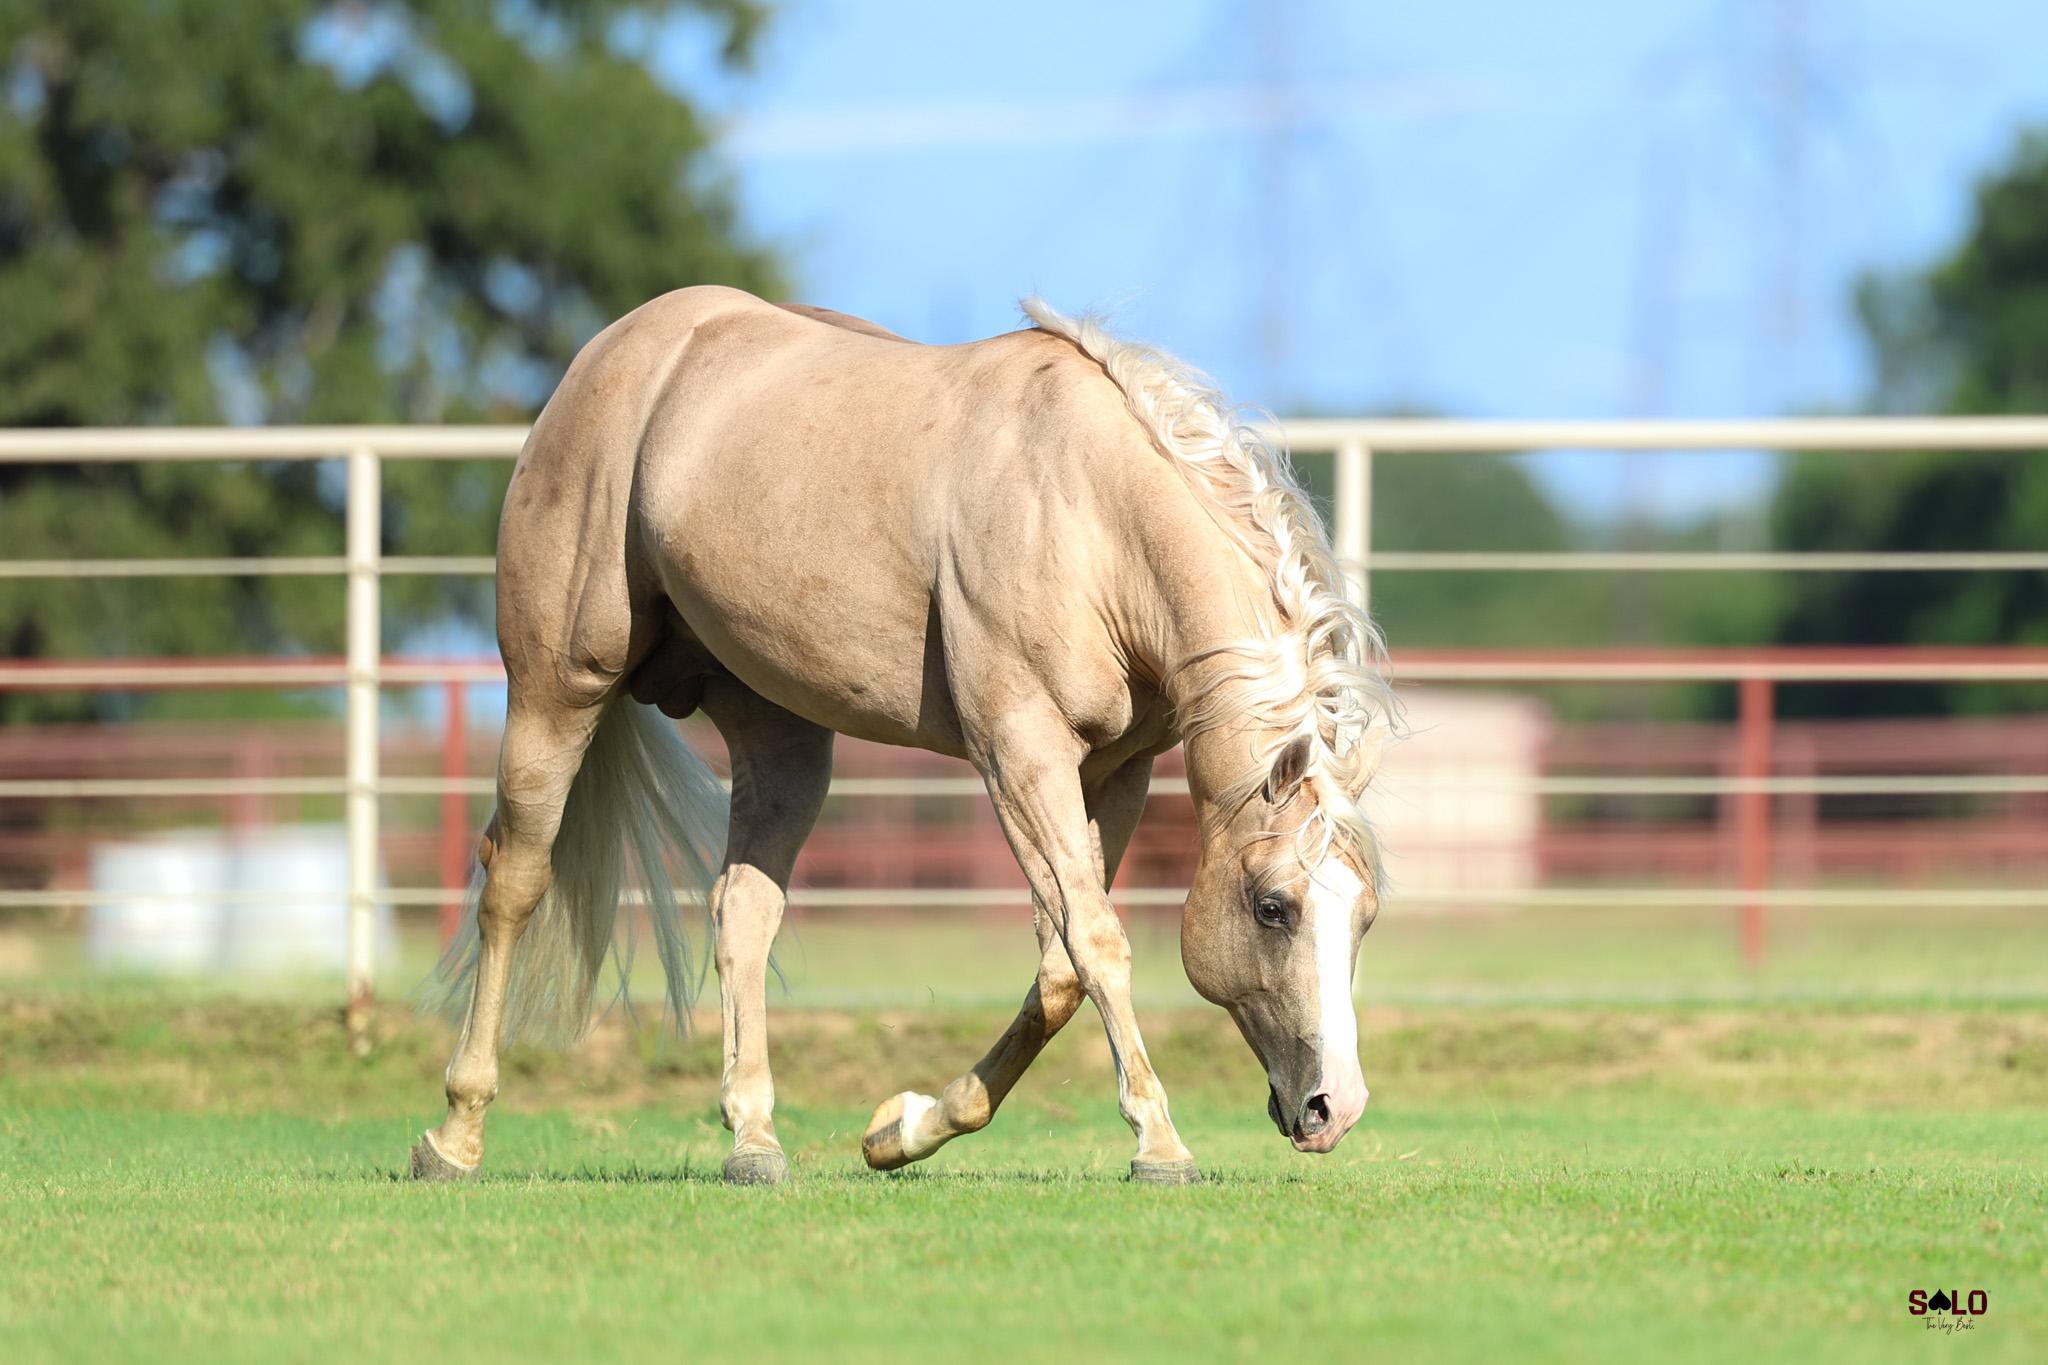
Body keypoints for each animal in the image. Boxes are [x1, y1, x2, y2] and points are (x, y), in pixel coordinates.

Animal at [412, 287, 1395, 1186]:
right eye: (1272, 907)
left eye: (1366, 916)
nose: (1335, 1108)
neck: (1088, 513)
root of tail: (621, 349)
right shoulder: (1019, 751)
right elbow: (1097, 942)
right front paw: (1159, 1145)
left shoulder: (1113, 773)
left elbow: (1060, 966)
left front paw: (905, 1127)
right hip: (556, 691)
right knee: (515, 881)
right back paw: (455, 1134)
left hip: (782, 737)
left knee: (743, 911)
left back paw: (754, 1141)